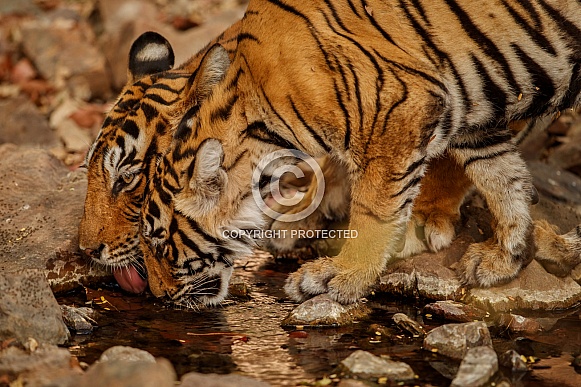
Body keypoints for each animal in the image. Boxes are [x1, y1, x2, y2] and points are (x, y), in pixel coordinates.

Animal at [137, 0, 581, 308]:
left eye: (160, 245)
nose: (157, 296)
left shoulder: (400, 111)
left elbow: (374, 209)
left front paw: (339, 276)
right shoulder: (476, 116)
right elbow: (501, 177)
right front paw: (506, 257)